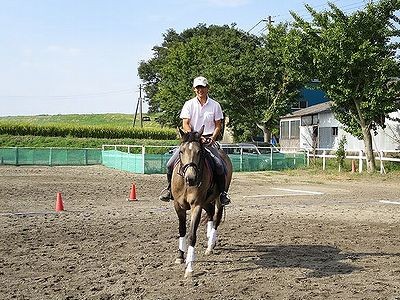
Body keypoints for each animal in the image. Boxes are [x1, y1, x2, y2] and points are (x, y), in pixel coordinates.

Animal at [171, 125, 233, 278]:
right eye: (181, 151)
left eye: (199, 152)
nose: (191, 178)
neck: (186, 184)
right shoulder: (178, 206)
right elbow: (182, 230)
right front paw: (180, 256)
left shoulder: (197, 206)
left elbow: (192, 235)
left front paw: (189, 268)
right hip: (206, 201)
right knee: (210, 213)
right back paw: (210, 238)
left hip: (218, 199)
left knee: (216, 218)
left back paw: (210, 245)